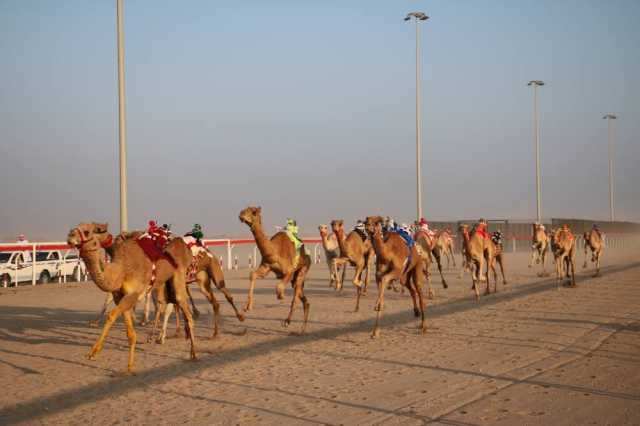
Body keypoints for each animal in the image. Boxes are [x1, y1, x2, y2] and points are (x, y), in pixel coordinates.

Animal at [67, 221, 198, 372]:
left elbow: (111, 315)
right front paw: (129, 367)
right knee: (165, 305)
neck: (121, 269)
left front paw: (93, 352)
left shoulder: (134, 294)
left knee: (185, 312)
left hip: (178, 277)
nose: (70, 236)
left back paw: (194, 354)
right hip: (164, 284)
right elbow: (130, 333)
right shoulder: (121, 297)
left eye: (87, 231)